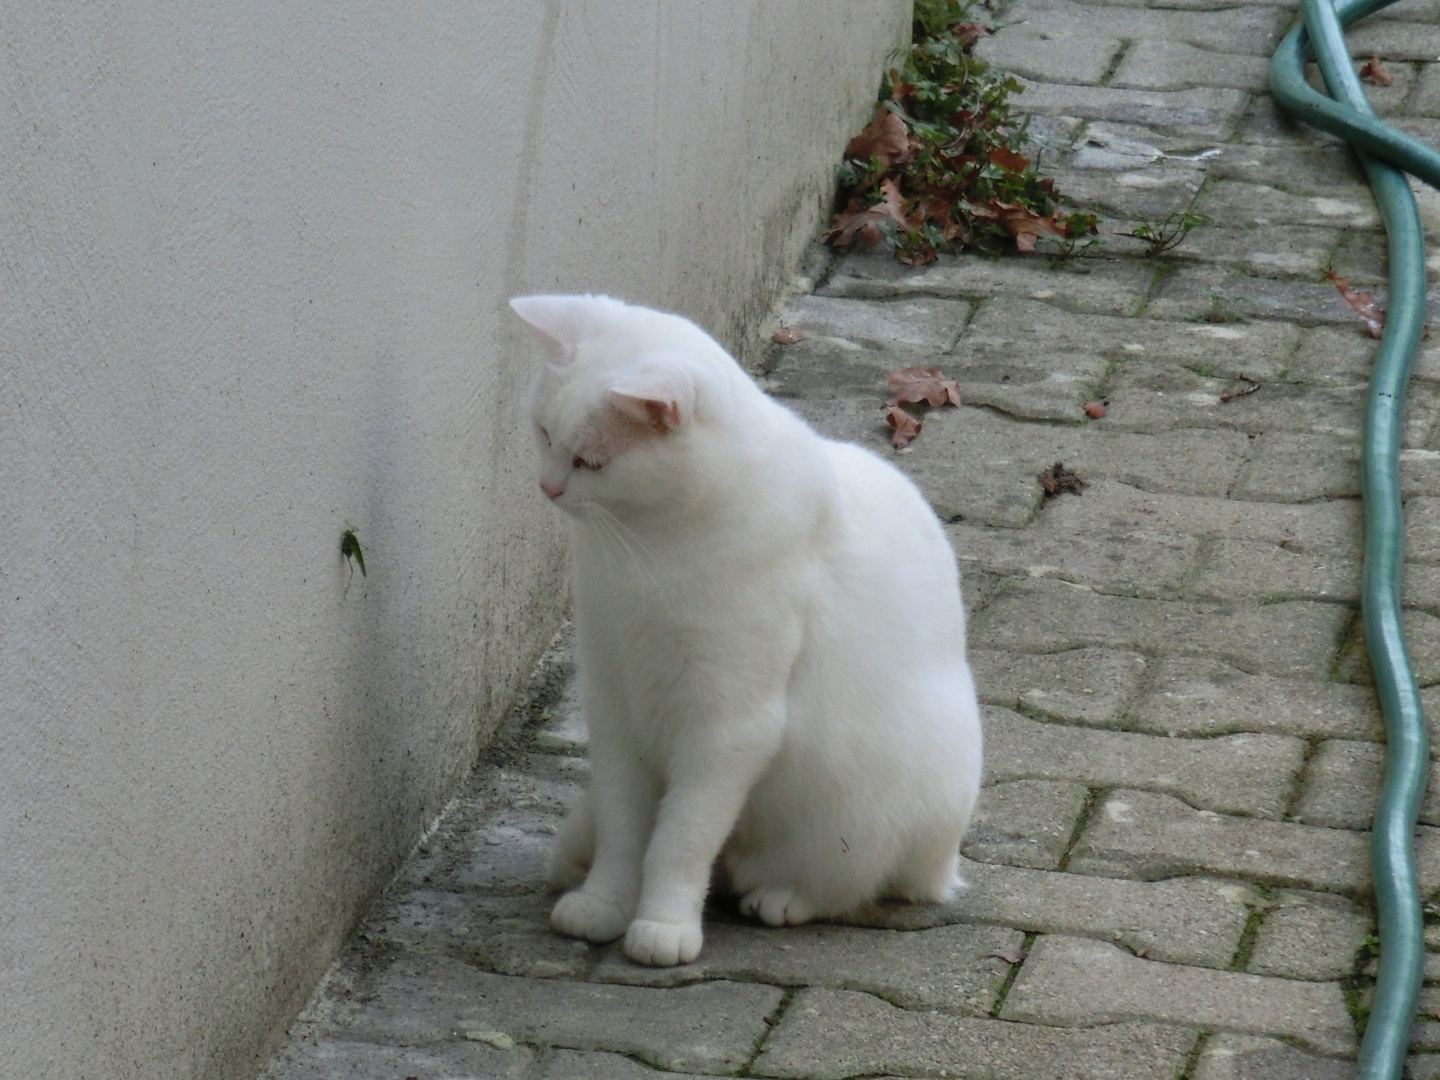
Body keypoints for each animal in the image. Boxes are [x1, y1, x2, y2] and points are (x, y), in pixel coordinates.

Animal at [506, 296, 979, 973]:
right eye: (544, 434)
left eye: (590, 461)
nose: (547, 487)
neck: (647, 546)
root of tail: (944, 865)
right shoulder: (615, 706)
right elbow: (626, 831)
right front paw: (604, 903)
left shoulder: (727, 726)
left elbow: (679, 840)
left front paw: (662, 923)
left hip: (870, 806)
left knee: (850, 881)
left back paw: (780, 897)